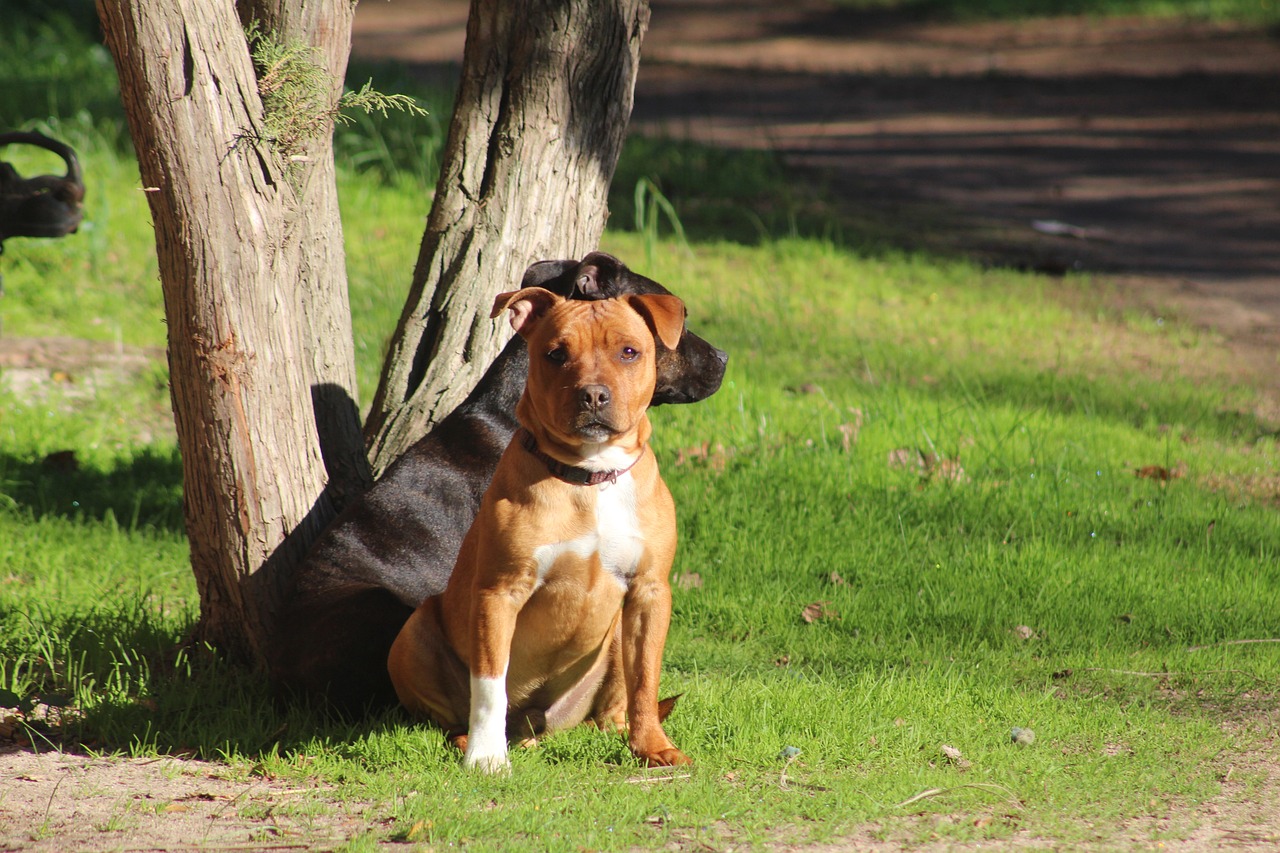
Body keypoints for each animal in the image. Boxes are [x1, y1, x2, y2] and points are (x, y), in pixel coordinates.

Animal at [386, 285, 696, 768]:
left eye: (629, 352)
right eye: (556, 354)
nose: (593, 395)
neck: (591, 475)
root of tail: (535, 723)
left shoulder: (649, 590)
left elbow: (646, 677)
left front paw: (653, 747)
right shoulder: (499, 592)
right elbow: (489, 685)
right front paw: (486, 757)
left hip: (613, 639)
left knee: (612, 705)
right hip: (412, 634)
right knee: (451, 715)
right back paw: (473, 740)